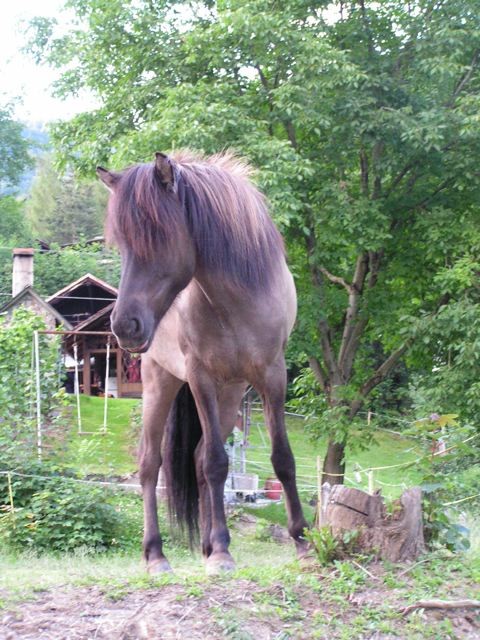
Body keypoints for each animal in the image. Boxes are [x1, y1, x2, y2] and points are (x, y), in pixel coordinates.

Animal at [97, 150, 308, 574]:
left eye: (158, 236)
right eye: (122, 245)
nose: (124, 326)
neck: (236, 300)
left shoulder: (272, 377)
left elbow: (281, 458)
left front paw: (302, 540)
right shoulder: (201, 378)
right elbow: (215, 462)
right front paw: (224, 552)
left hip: (231, 392)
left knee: (194, 461)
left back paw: (208, 544)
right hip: (160, 382)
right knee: (151, 464)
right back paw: (157, 554)